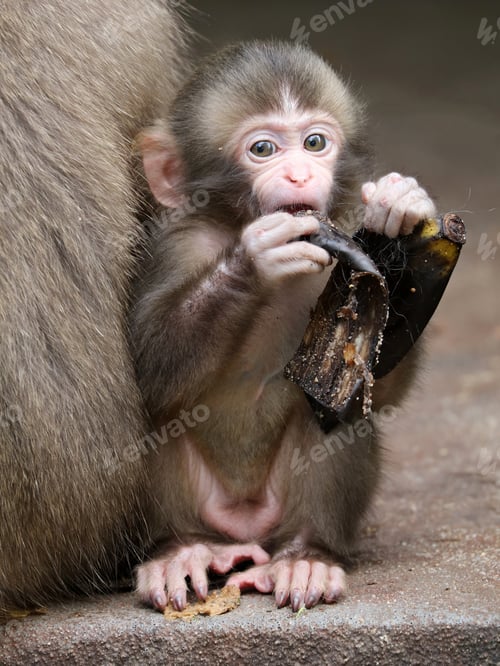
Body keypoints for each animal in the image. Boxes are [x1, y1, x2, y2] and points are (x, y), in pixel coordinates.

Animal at [130, 40, 436, 613]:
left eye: (314, 143)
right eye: (263, 149)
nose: (298, 175)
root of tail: (245, 526)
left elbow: (374, 390)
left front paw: (401, 206)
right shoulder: (175, 245)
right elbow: (148, 372)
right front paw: (255, 258)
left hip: (279, 512)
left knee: (331, 409)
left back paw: (306, 556)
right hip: (210, 510)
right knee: (159, 419)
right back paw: (180, 550)